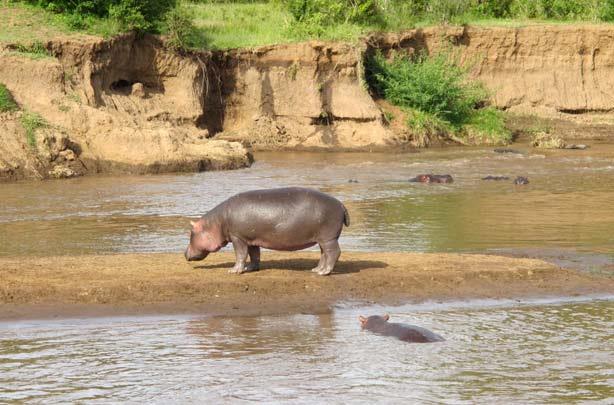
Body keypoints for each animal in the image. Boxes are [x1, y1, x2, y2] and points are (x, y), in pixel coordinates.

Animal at [185, 186, 352, 274]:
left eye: (191, 233)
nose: (184, 253)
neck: (217, 222)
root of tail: (341, 204)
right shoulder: (251, 239)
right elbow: (254, 255)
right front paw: (250, 268)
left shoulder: (237, 237)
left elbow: (240, 254)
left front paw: (234, 271)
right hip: (322, 238)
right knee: (324, 254)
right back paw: (316, 270)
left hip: (328, 238)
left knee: (333, 253)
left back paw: (324, 273)